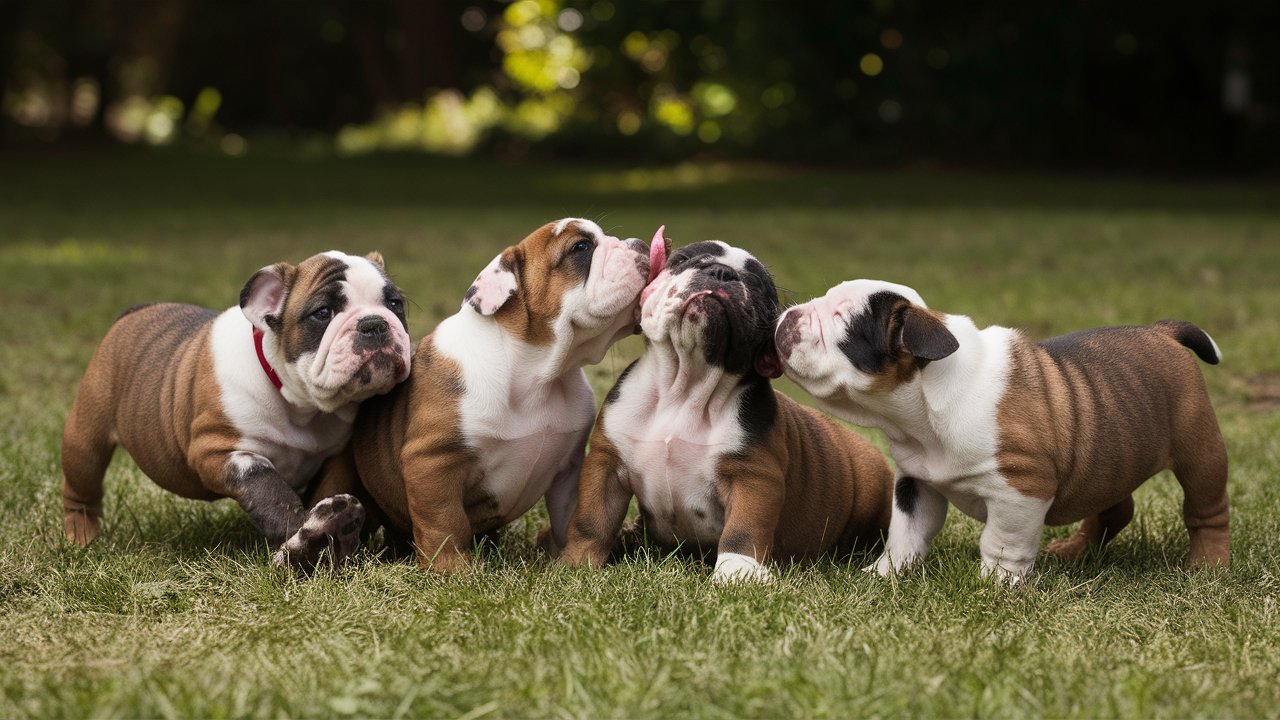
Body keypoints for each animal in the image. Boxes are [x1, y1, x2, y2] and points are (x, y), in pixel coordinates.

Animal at [61, 249, 409, 568]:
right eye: (323, 312)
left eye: (396, 304)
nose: (374, 323)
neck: (301, 404)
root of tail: (135, 311)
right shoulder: (219, 452)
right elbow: (270, 490)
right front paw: (311, 533)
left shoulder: (334, 458)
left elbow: (325, 488)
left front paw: (319, 532)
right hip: (86, 440)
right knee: (82, 489)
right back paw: (82, 538)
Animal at [340, 215, 655, 568]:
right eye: (581, 247)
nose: (640, 243)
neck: (540, 373)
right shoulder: (432, 461)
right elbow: (444, 522)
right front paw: (452, 568)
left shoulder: (568, 470)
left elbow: (569, 515)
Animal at [565, 233, 896, 579]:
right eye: (682, 260)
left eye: (760, 286)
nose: (722, 273)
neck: (687, 386)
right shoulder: (606, 464)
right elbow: (591, 522)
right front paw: (576, 564)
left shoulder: (752, 478)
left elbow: (742, 531)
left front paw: (738, 573)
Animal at [773, 278, 1233, 579]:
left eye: (840, 322)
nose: (788, 315)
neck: (925, 407)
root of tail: (1161, 332)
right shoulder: (916, 483)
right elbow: (905, 533)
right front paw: (885, 574)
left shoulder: (1021, 488)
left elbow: (1001, 542)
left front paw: (997, 585)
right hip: (1111, 455)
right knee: (1112, 508)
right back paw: (1075, 550)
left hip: (1200, 454)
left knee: (1206, 510)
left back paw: (1208, 564)